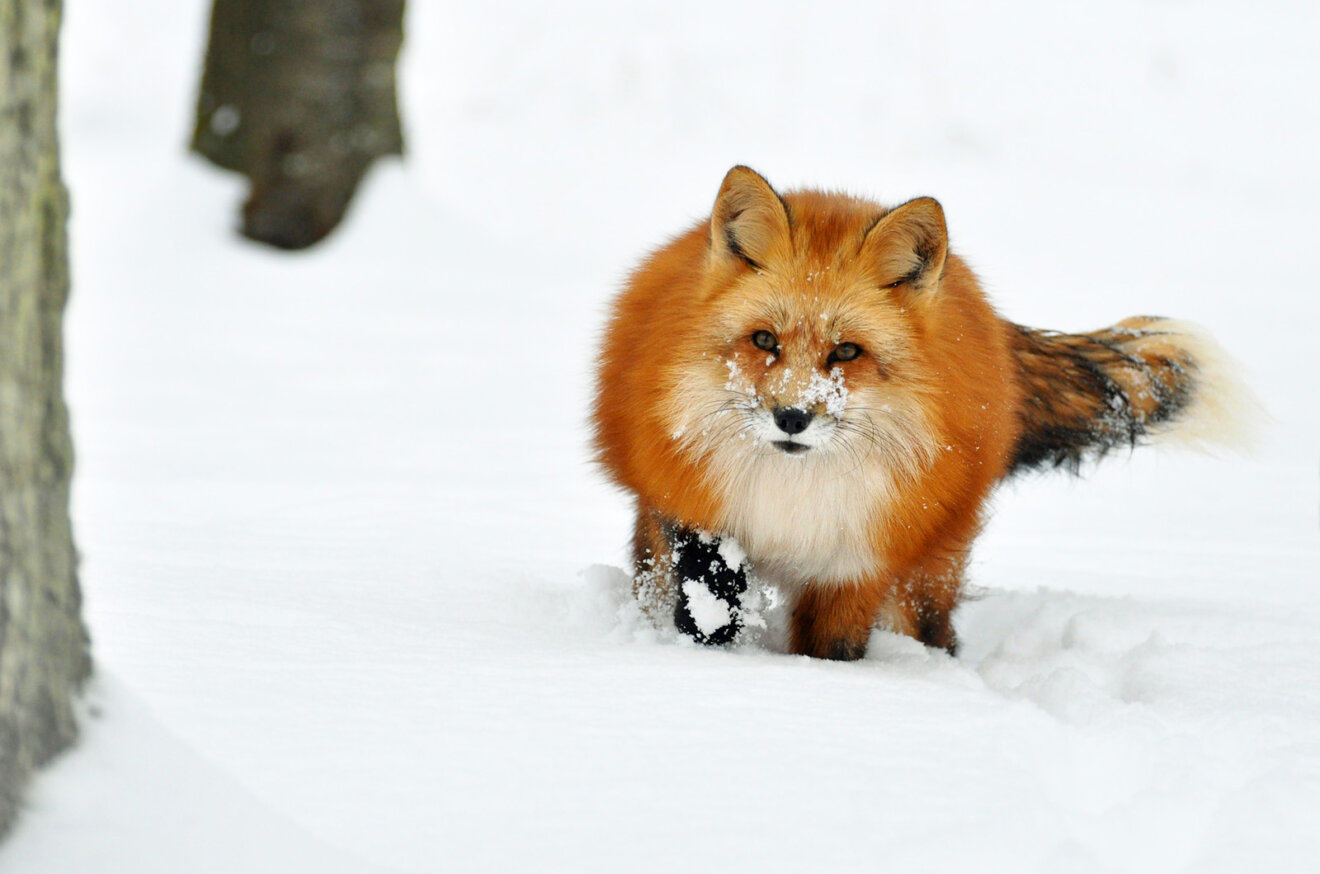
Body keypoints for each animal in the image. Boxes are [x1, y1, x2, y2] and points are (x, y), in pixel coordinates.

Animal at [591, 166, 1246, 657]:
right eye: (763, 341)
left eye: (846, 352)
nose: (793, 417)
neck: (794, 497)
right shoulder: (700, 520)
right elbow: (709, 618)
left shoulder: (858, 561)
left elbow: (831, 650)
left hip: (927, 574)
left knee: (937, 632)